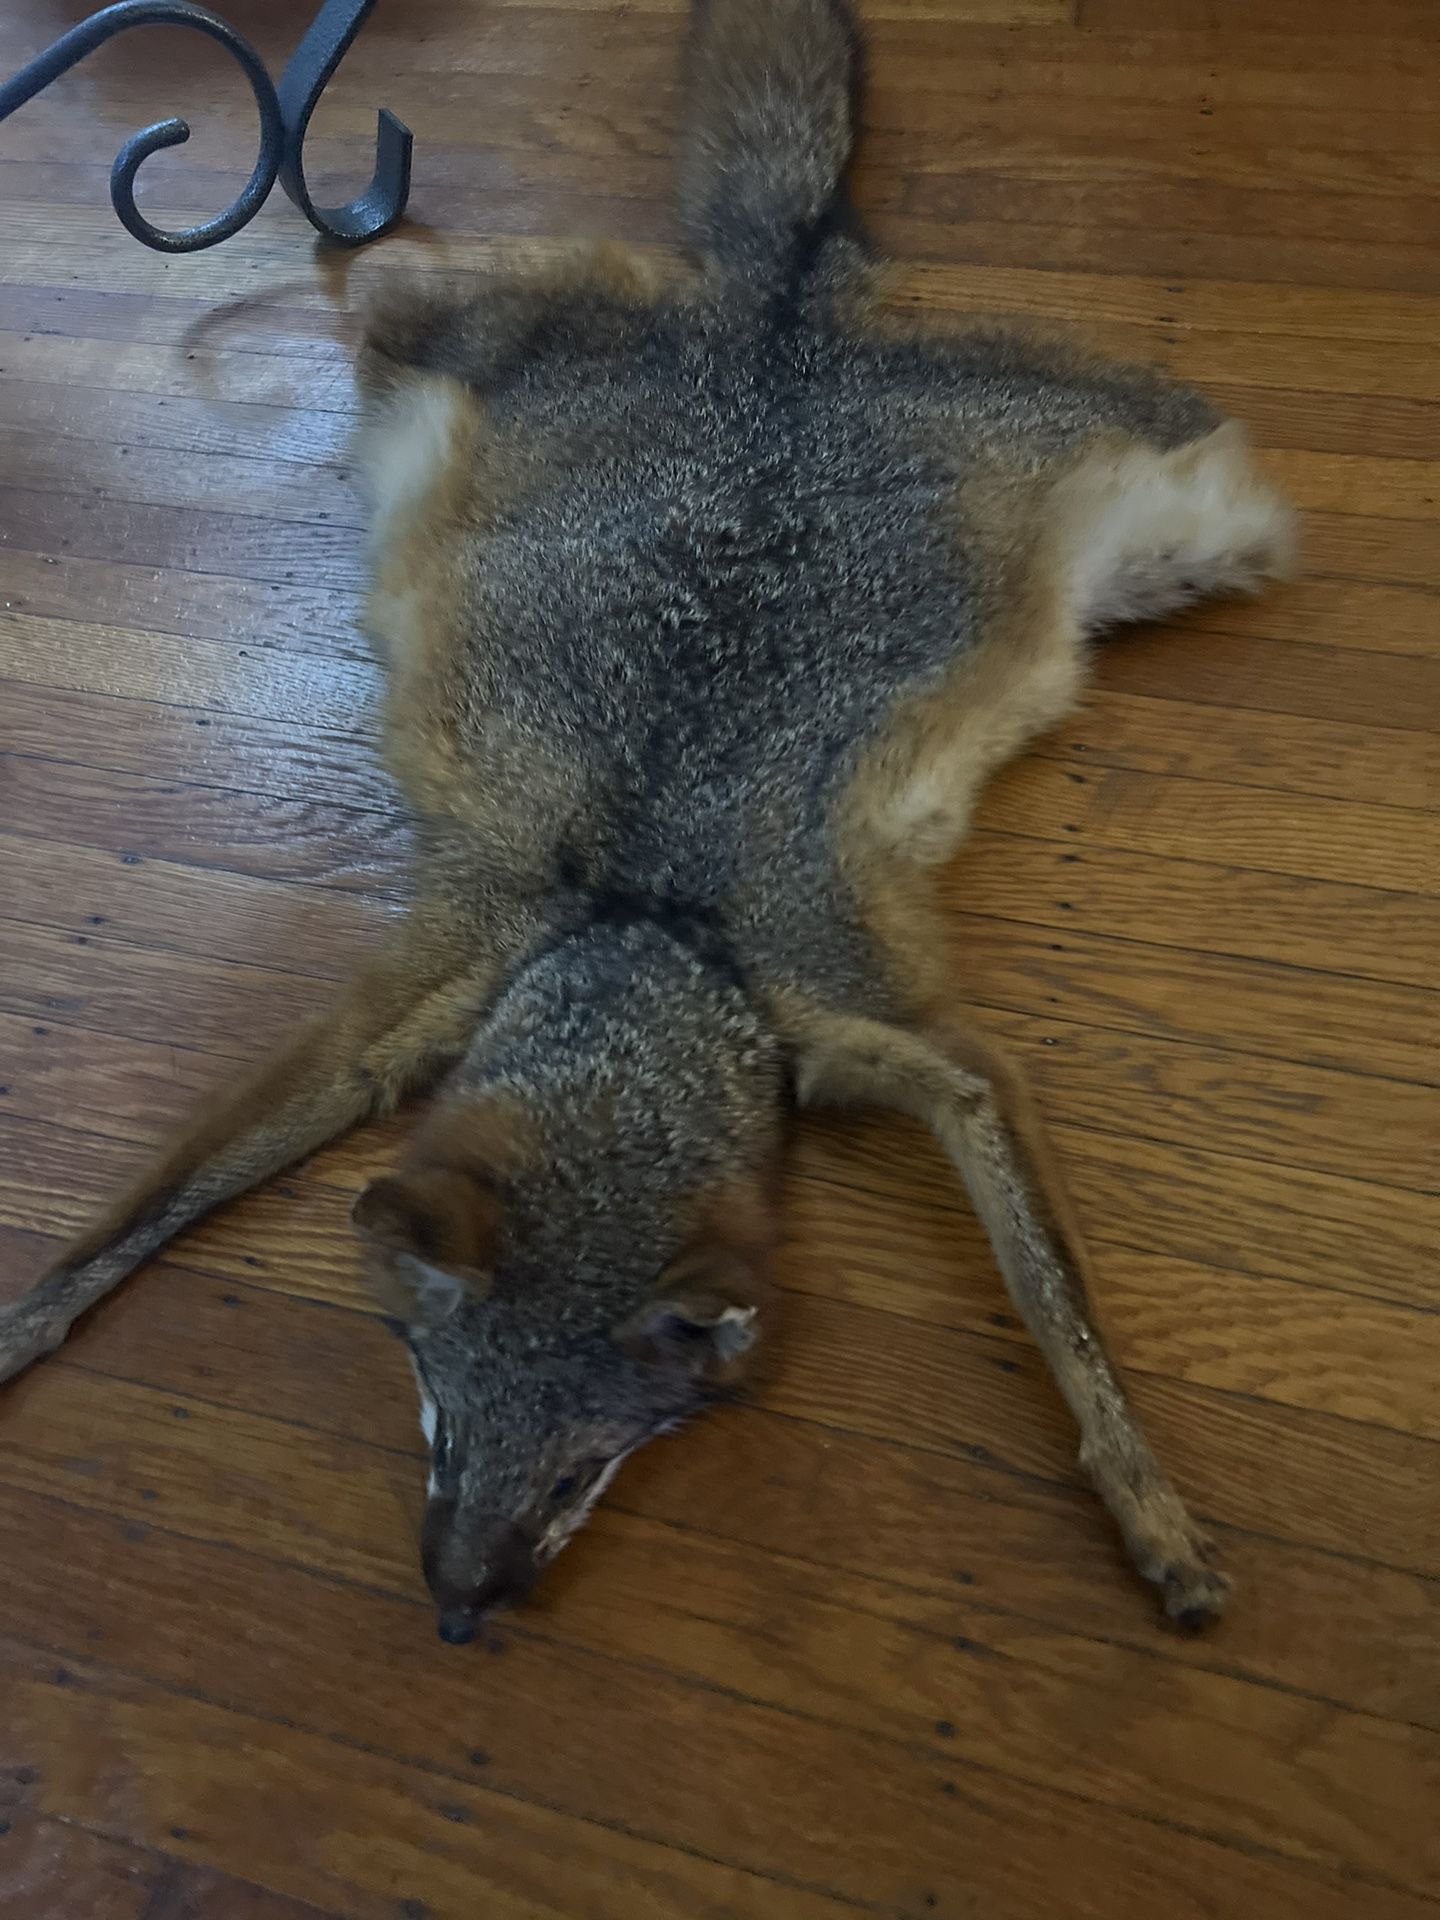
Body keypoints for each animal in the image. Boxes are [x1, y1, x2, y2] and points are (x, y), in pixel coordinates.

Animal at [0, 0, 1293, 1644]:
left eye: (581, 1472)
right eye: (442, 1422)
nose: (457, 1618)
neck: (659, 929)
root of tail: (776, 308)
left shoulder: (913, 1039)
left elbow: (1062, 1307)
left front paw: (1150, 1509)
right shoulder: (421, 995)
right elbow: (146, 1205)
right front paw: (21, 1326)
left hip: (1209, 531)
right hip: (408, 357)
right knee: (365, 285)